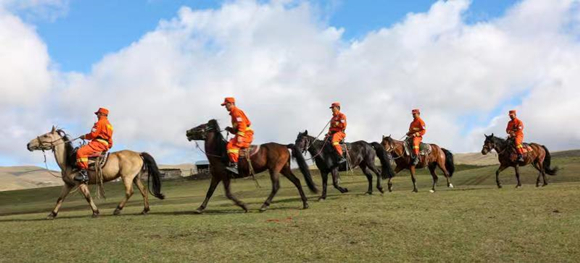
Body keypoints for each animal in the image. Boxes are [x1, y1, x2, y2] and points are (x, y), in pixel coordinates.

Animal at [26, 127, 164, 220]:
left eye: (46, 135)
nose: (28, 144)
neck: (68, 161)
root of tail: (138, 154)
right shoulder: (68, 184)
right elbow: (60, 199)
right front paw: (52, 214)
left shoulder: (80, 183)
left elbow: (88, 197)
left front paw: (96, 212)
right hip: (135, 178)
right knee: (143, 191)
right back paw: (145, 210)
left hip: (127, 177)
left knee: (129, 192)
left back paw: (117, 209)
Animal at [187, 120, 318, 213]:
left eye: (200, 127)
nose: (187, 132)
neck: (219, 152)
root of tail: (283, 145)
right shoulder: (216, 177)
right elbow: (209, 192)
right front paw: (200, 208)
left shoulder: (225, 177)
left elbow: (228, 194)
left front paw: (244, 206)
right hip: (284, 169)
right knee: (297, 181)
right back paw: (305, 203)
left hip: (274, 169)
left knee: (276, 186)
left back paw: (264, 205)